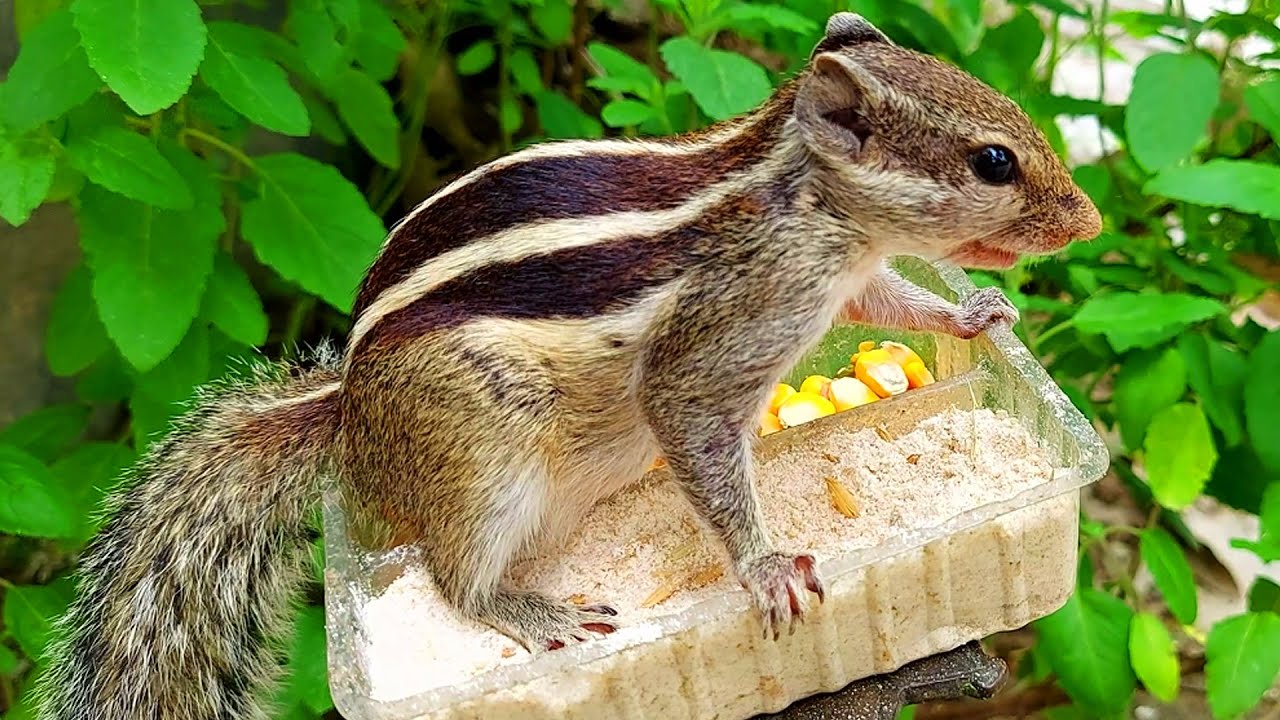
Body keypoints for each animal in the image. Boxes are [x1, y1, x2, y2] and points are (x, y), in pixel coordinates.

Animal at [34, 13, 1101, 720]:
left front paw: (973, 313)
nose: (1088, 220)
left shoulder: (839, 289)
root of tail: (347, 417)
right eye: (994, 161)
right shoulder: (724, 335)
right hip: (480, 453)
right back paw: (532, 609)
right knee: (453, 581)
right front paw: (763, 568)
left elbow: (895, 304)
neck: (802, 196)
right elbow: (693, 427)